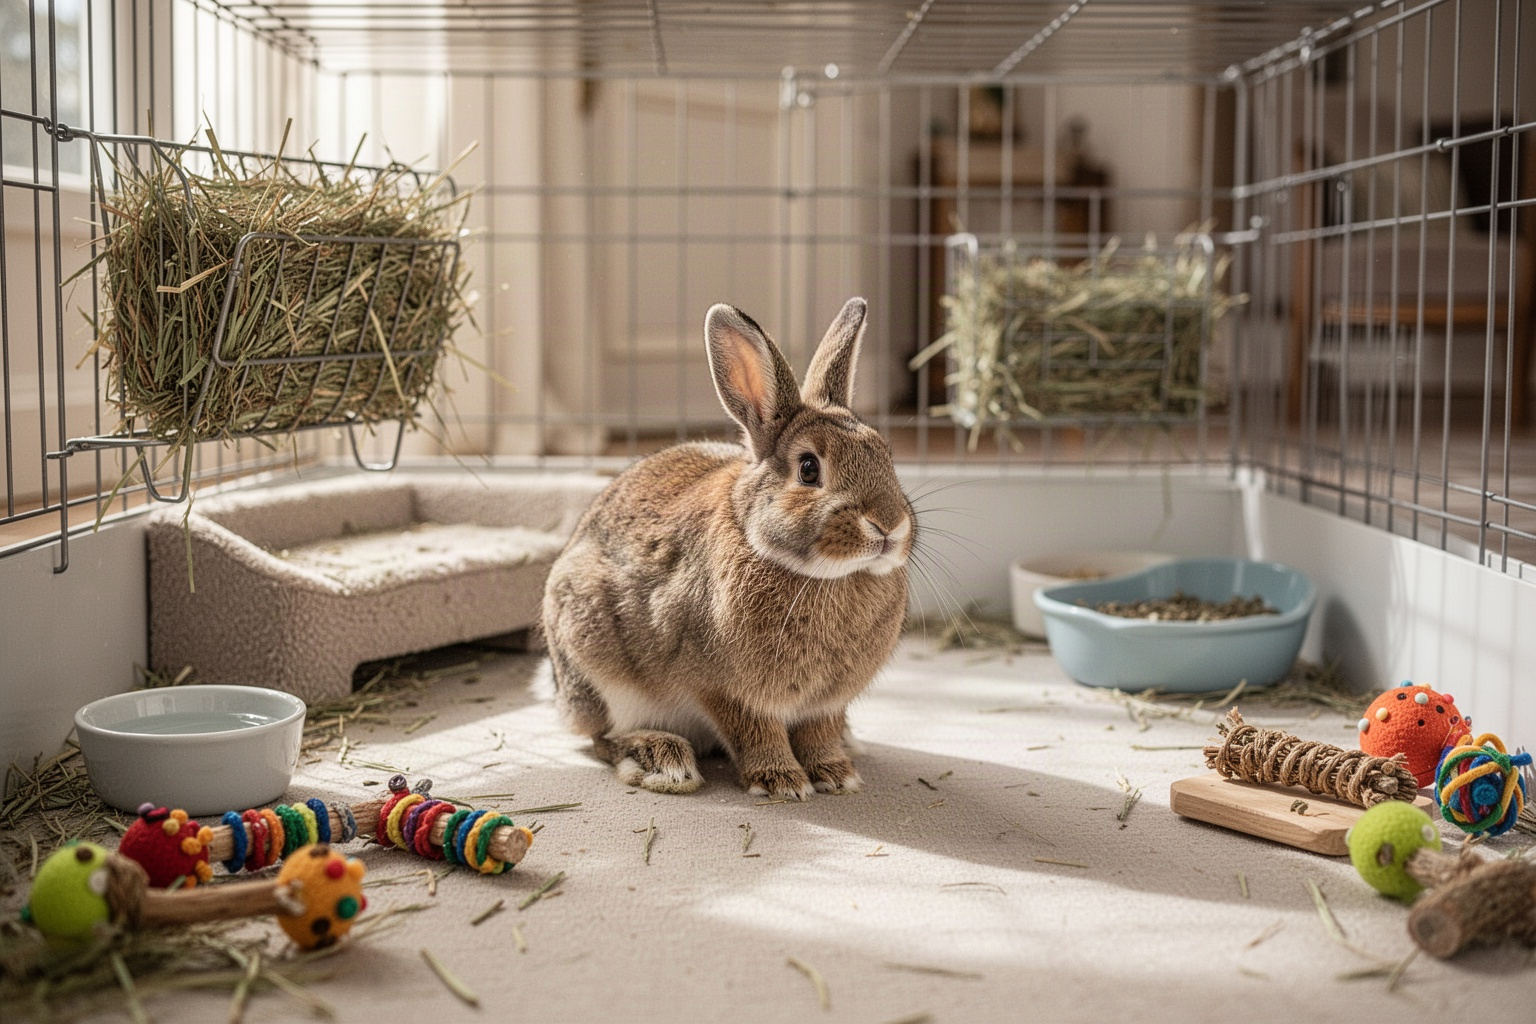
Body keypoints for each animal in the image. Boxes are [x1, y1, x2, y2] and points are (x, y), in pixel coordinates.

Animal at [541, 297, 915, 800]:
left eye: (886, 455)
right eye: (809, 469)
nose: (890, 525)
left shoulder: (826, 703)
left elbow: (818, 731)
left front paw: (836, 773)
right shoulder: (723, 689)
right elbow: (754, 731)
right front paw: (781, 782)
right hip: (594, 659)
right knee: (602, 737)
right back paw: (662, 760)